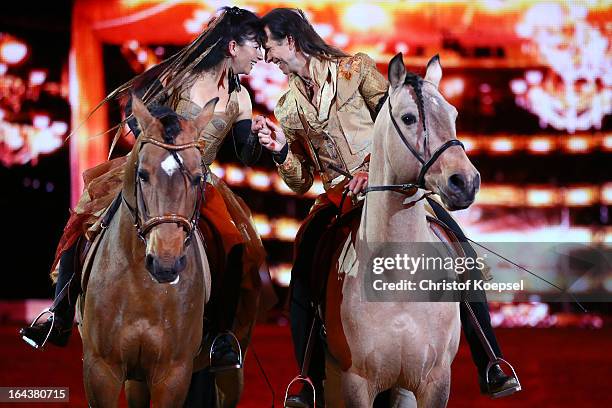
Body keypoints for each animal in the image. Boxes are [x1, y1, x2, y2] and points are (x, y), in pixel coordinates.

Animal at [78, 97, 218, 406]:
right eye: (142, 175)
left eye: (197, 178)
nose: (165, 264)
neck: (143, 289)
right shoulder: (100, 370)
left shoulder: (173, 374)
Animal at [328, 53, 480, 404]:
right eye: (409, 118)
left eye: (453, 114)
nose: (465, 182)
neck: (399, 276)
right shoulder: (354, 383)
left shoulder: (434, 381)